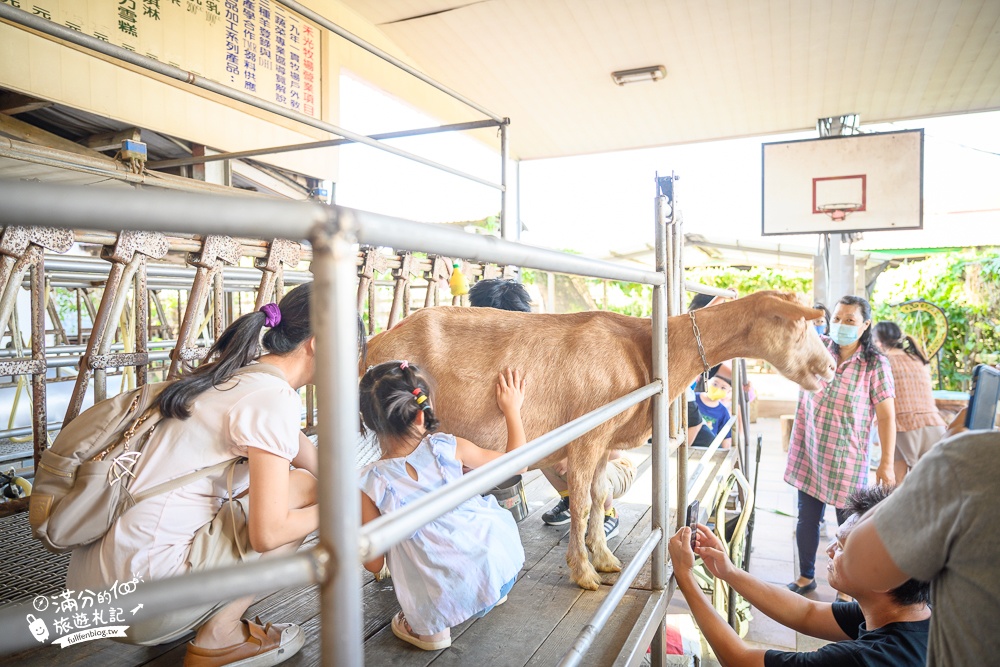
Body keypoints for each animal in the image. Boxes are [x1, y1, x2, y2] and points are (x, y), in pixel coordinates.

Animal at [364, 292, 832, 588]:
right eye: (798, 325)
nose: (828, 367)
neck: (647, 348)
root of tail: (376, 340)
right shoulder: (587, 434)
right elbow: (582, 501)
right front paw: (584, 572)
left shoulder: (606, 440)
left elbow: (600, 492)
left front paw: (604, 558)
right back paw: (382, 571)